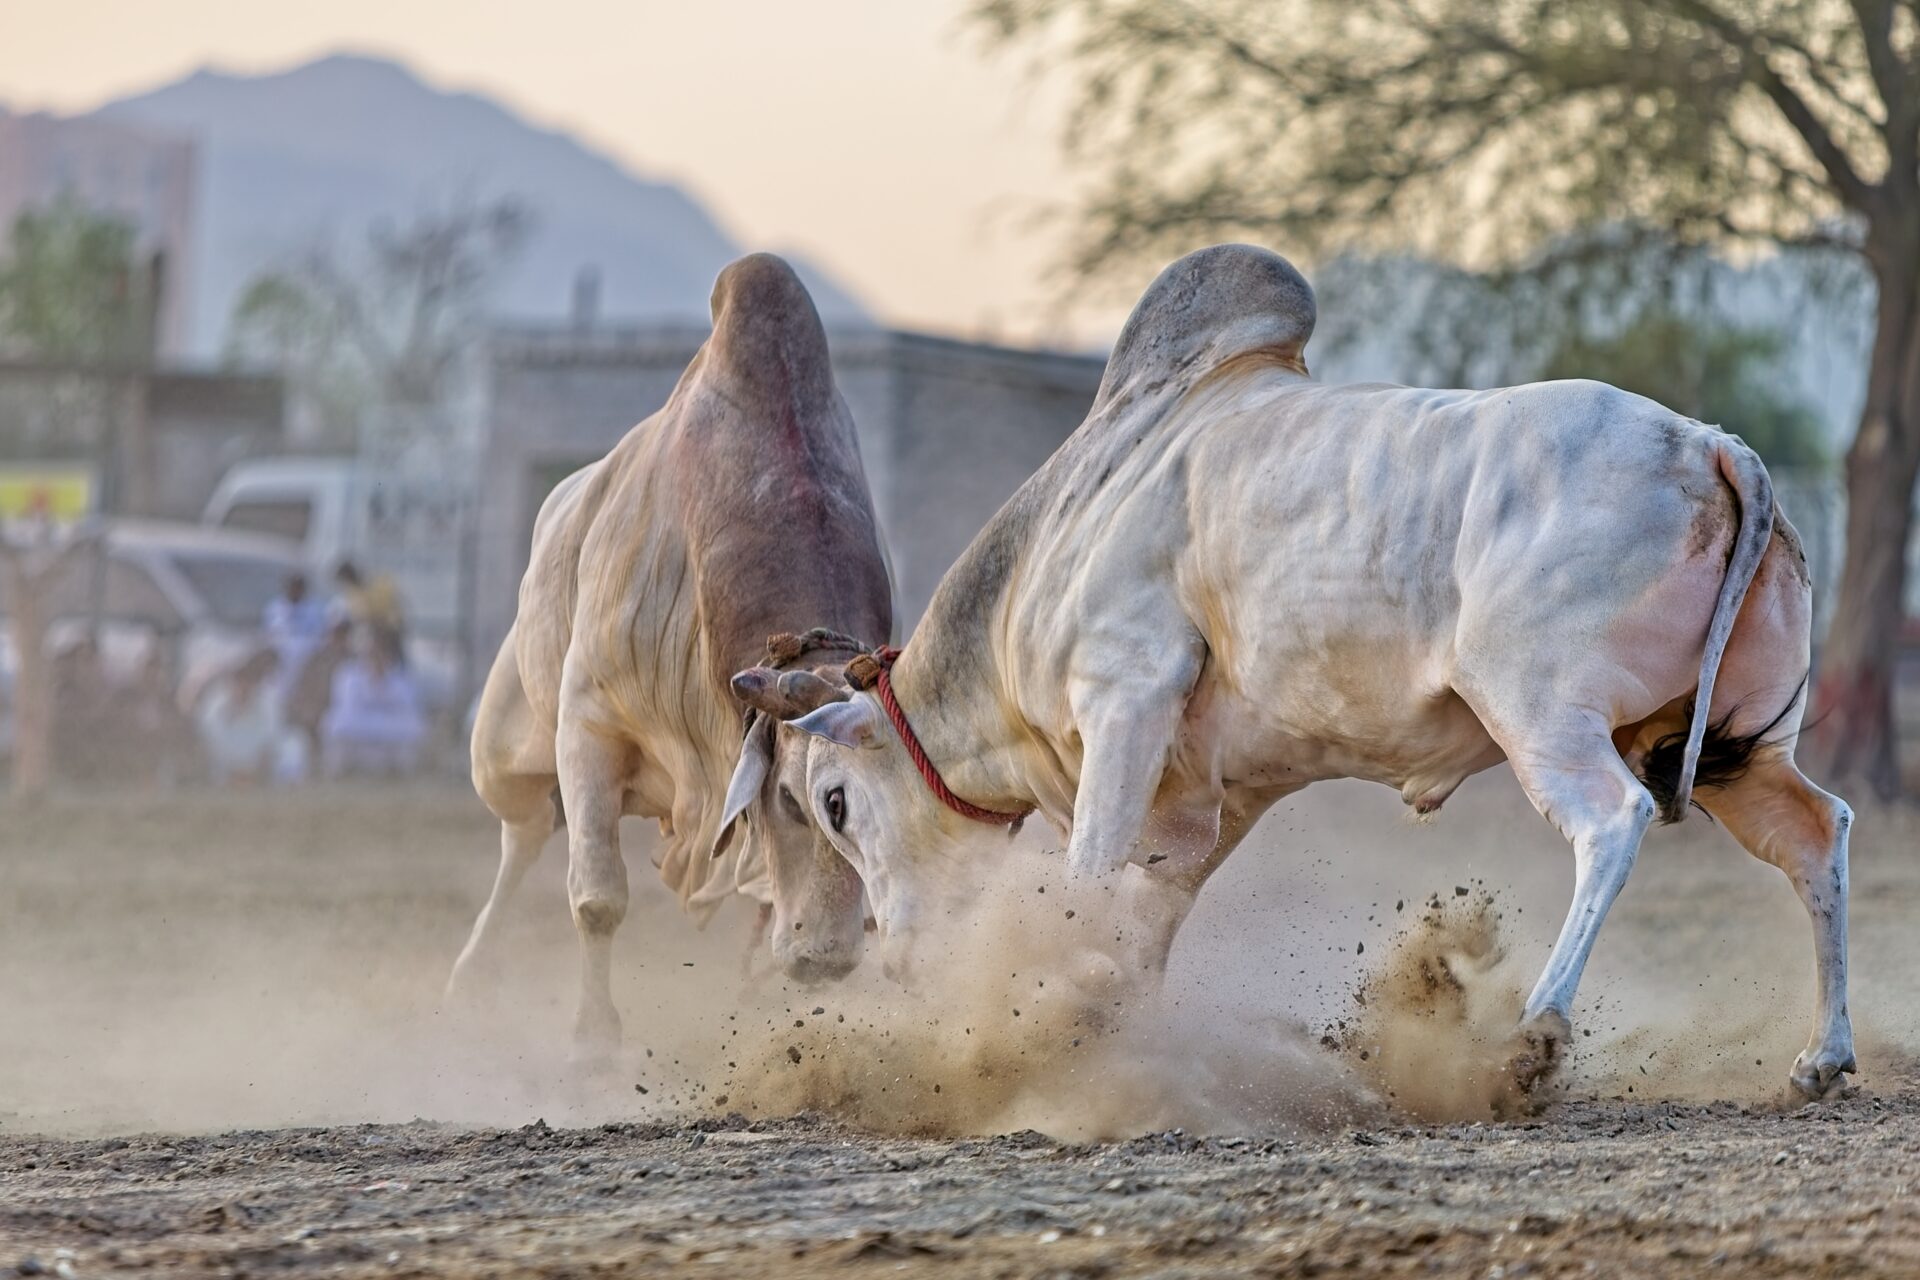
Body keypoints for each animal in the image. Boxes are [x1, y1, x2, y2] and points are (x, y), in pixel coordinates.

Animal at [446, 253, 891, 1057]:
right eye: (791, 799)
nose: (825, 958)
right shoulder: (588, 726)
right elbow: (597, 898)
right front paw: (593, 1041)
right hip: (502, 750)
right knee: (523, 835)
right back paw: (472, 979)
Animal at [756, 243, 1854, 1100]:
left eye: (833, 803)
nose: (894, 958)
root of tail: (1712, 446)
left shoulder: (1124, 697)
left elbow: (1087, 880)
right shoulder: (1213, 798)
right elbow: (1142, 922)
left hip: (1545, 713)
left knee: (1612, 821)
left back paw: (1531, 1041)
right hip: (1727, 747)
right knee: (1815, 831)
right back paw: (1822, 1057)